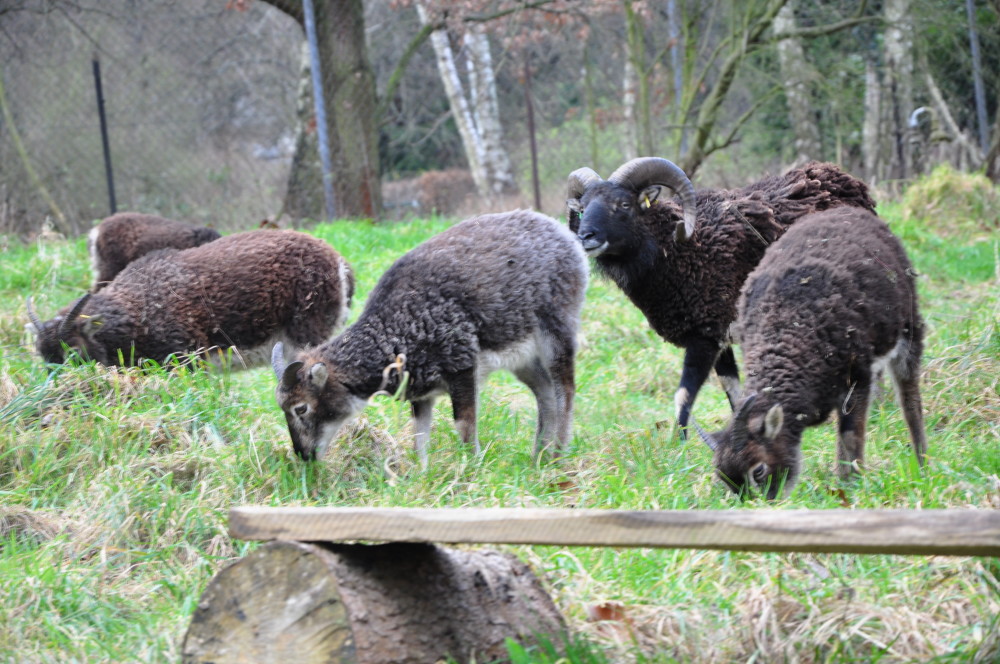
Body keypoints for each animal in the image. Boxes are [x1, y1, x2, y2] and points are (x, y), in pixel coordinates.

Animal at [270, 210, 588, 464]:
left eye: (301, 407)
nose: (303, 454)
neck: (400, 324)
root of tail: (562, 233)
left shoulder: (462, 368)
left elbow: (464, 426)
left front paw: (472, 470)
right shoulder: (422, 393)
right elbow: (419, 437)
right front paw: (421, 475)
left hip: (556, 333)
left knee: (564, 389)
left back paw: (558, 456)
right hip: (522, 358)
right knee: (544, 391)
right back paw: (539, 458)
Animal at [568, 157, 880, 436]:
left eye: (623, 204)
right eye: (582, 208)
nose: (586, 236)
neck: (681, 249)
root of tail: (839, 176)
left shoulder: (704, 335)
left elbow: (684, 394)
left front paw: (677, 446)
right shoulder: (720, 335)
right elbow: (732, 389)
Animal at [692, 208, 924, 498]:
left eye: (758, 470)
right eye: (726, 480)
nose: (763, 502)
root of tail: (849, 211)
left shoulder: (857, 378)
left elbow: (850, 435)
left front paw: (850, 485)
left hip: (909, 331)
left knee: (910, 399)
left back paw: (923, 462)